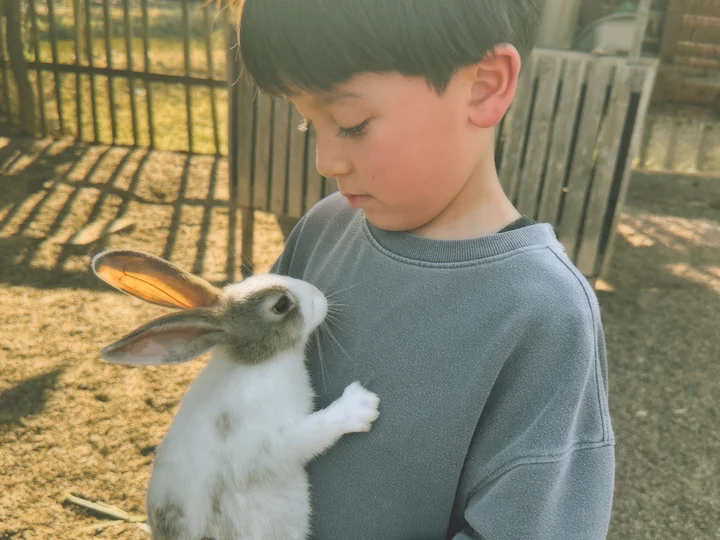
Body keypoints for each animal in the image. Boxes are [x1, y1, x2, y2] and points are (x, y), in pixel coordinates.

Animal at [90, 249, 380, 540]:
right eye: (281, 304)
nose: (319, 295)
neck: (256, 363)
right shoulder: (271, 443)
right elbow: (313, 431)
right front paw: (360, 405)